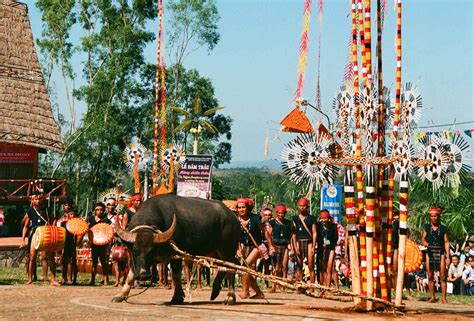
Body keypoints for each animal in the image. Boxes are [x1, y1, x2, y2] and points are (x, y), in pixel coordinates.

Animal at [112, 192, 241, 302]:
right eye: (135, 251)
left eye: (152, 251)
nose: (144, 275)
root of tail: (233, 218)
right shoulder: (134, 259)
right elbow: (130, 274)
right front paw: (120, 296)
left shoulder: (176, 254)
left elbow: (176, 275)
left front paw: (177, 297)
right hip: (216, 252)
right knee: (227, 267)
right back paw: (219, 292)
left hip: (227, 249)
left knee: (231, 267)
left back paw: (228, 296)